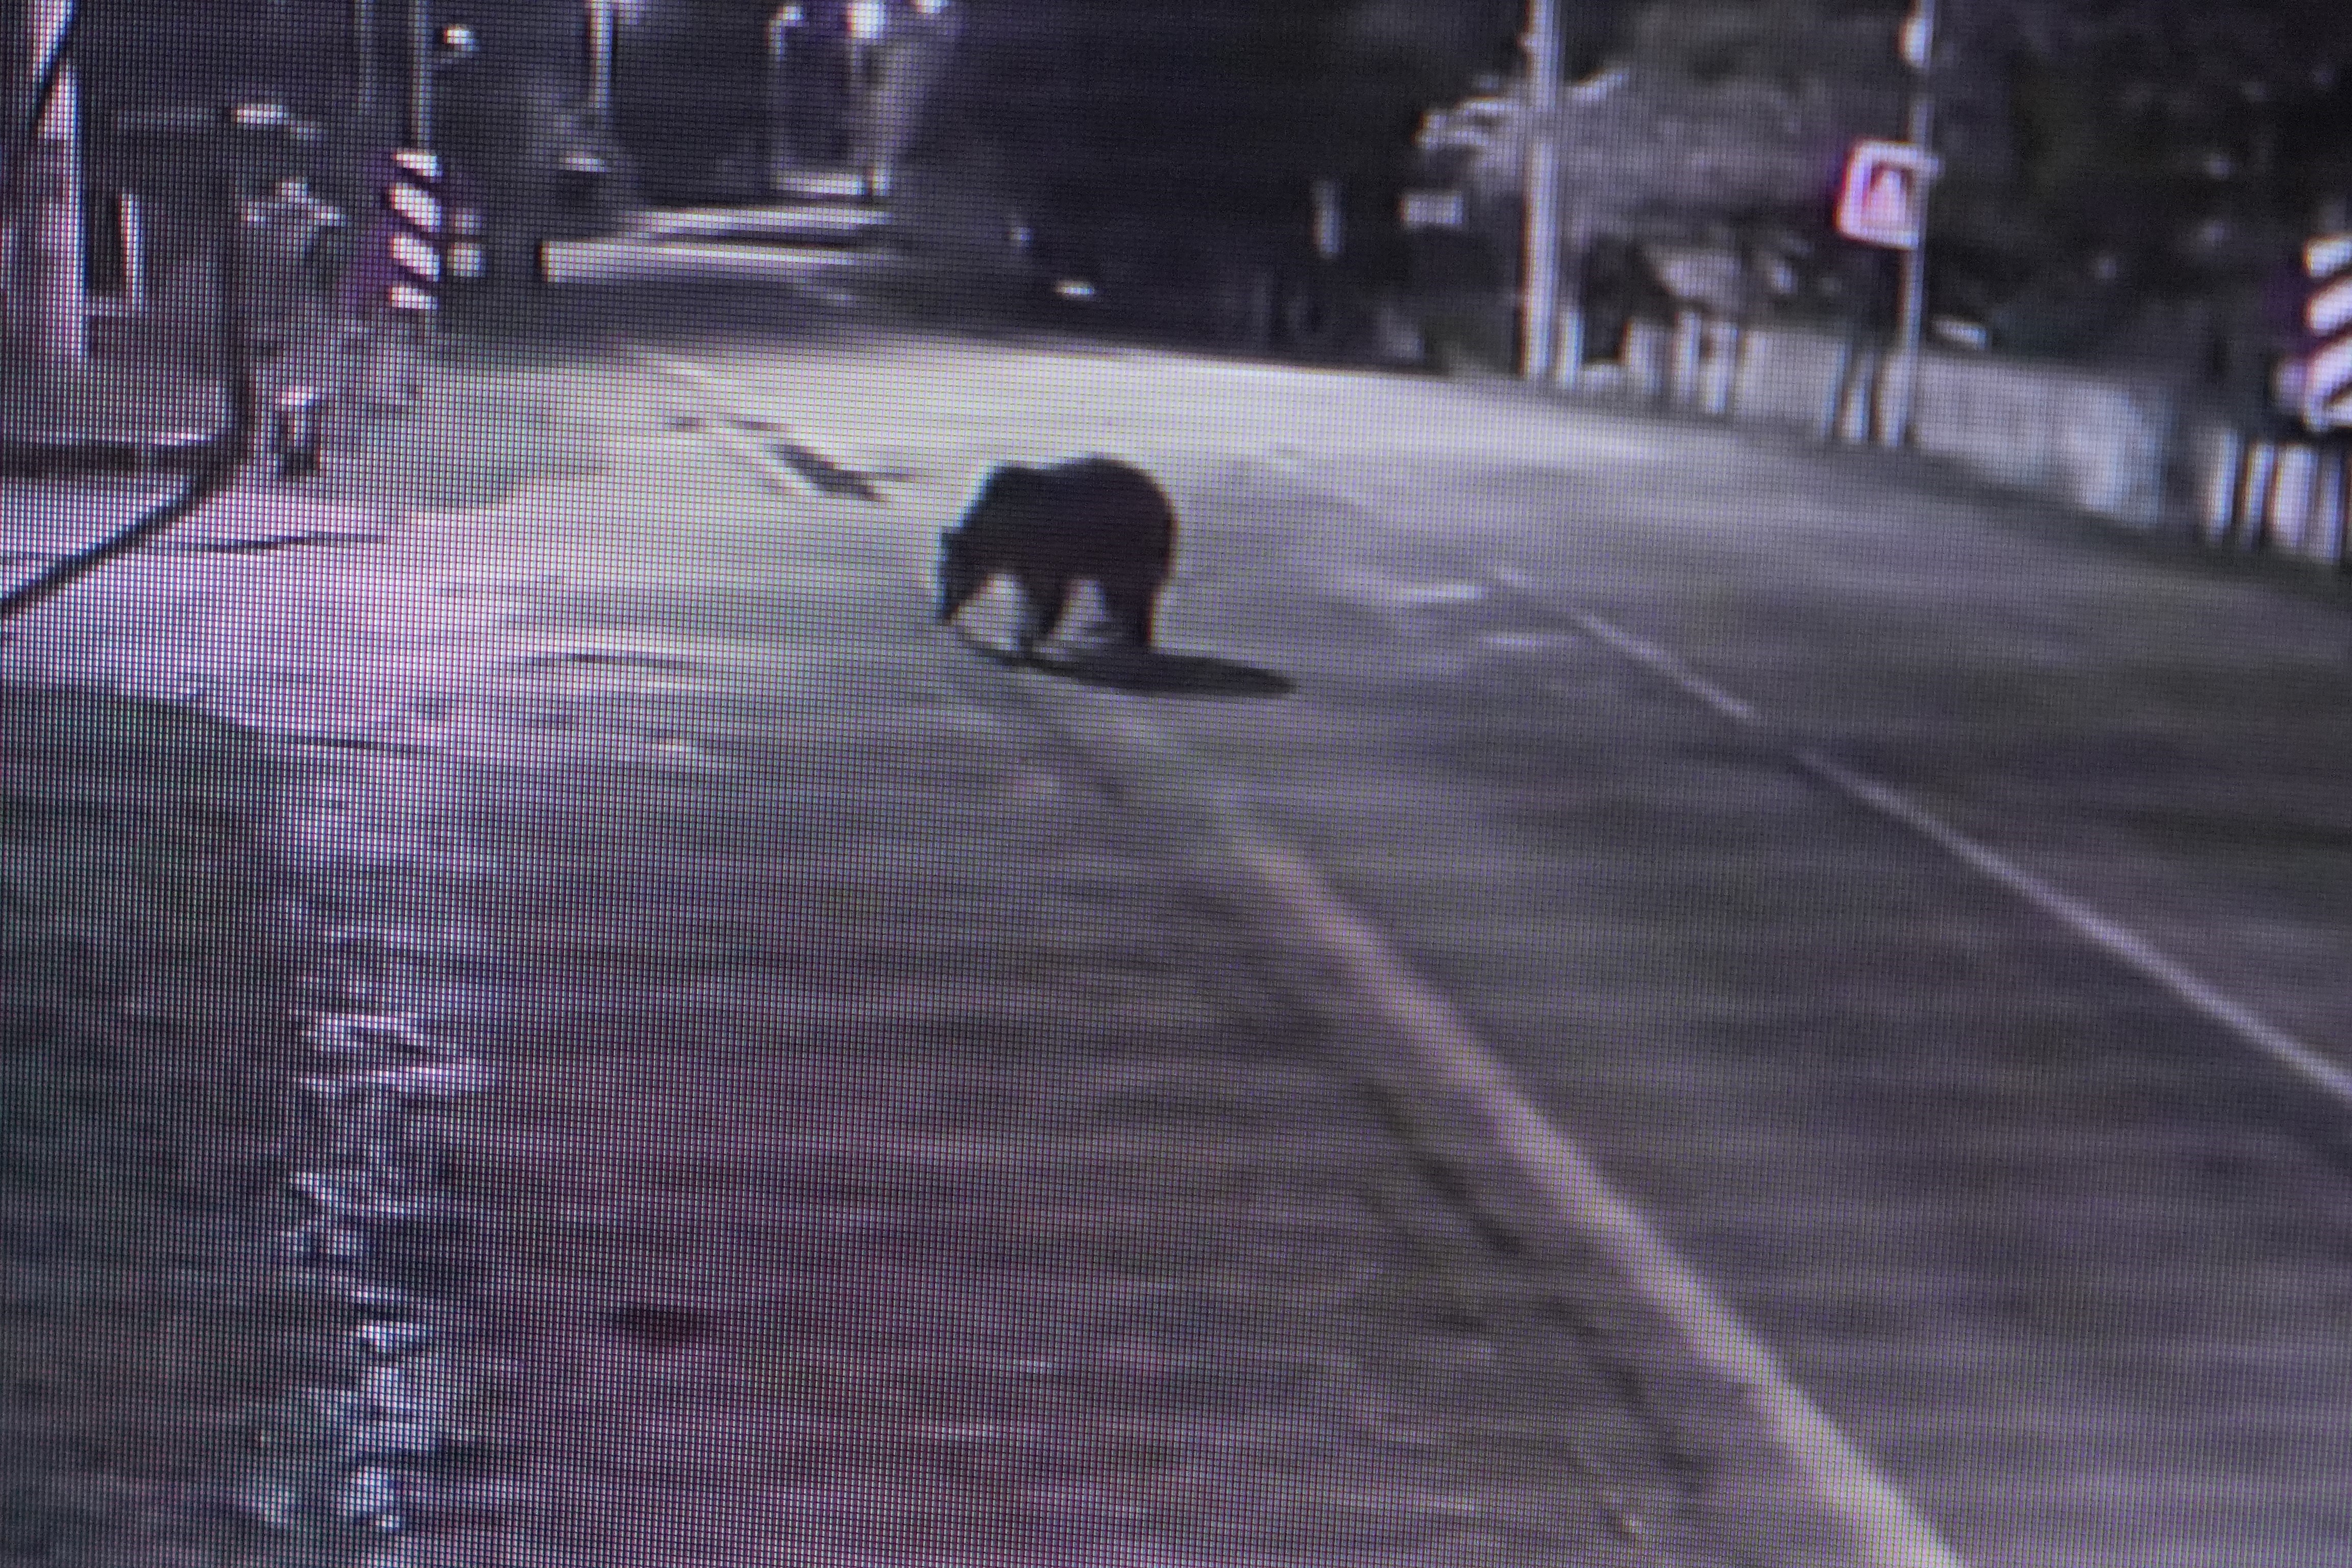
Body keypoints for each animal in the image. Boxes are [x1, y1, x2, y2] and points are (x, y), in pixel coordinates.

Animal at [941, 456, 1185, 658]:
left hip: (1129, 547)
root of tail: (1167, 513)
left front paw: (1026, 636)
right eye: (941, 578)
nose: (941, 614)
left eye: (949, 581)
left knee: (1127, 591)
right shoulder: (1023, 562)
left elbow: (1048, 598)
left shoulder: (1041, 552)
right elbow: (1032, 597)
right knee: (1119, 595)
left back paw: (1127, 636)